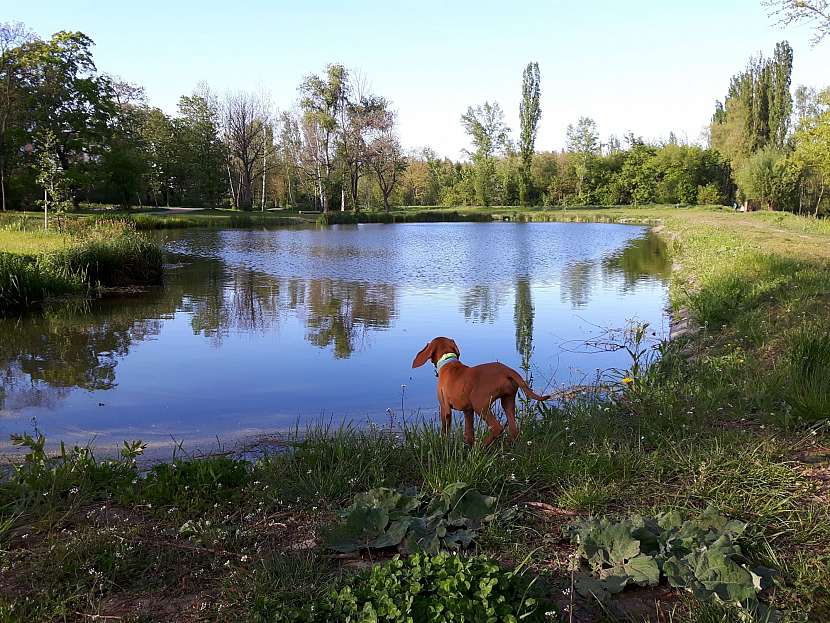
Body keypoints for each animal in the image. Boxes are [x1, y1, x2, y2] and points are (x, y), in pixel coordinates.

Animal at [412, 338, 552, 446]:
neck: (448, 361)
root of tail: (507, 370)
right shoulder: (468, 410)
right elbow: (469, 432)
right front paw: (467, 446)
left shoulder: (445, 408)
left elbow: (445, 430)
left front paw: (443, 445)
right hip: (507, 401)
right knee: (513, 430)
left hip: (480, 405)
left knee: (497, 428)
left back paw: (480, 448)